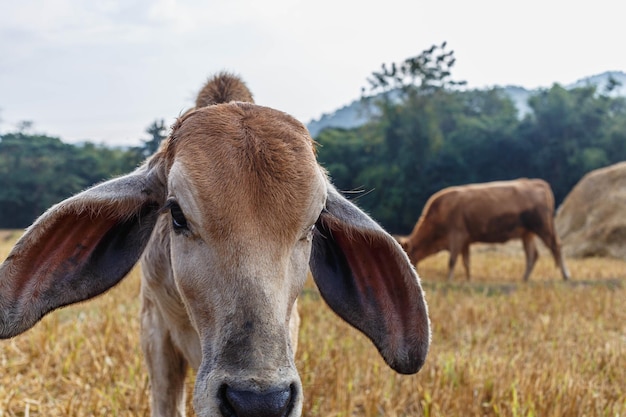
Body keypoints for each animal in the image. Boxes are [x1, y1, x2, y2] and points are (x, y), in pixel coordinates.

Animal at [398, 177, 568, 282]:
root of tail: (536, 182)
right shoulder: (465, 240)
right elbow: (466, 262)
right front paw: (468, 279)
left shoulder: (456, 235)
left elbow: (452, 261)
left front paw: (449, 280)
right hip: (527, 233)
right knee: (532, 255)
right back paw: (524, 279)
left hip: (543, 227)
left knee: (556, 246)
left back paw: (565, 275)